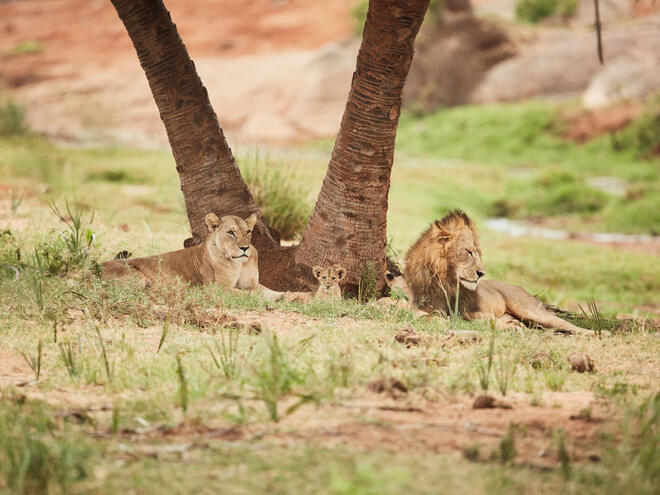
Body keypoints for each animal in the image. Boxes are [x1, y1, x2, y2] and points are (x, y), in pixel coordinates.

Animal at [102, 211, 282, 300]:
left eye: (248, 232)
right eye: (231, 233)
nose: (244, 248)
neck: (240, 263)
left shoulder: (253, 284)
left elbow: (271, 291)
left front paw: (285, 297)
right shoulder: (217, 288)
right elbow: (248, 294)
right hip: (139, 278)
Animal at [402, 211, 592, 336]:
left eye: (479, 253)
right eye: (469, 252)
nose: (481, 273)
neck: (444, 280)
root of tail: (518, 286)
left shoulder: (472, 311)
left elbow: (480, 318)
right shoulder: (419, 306)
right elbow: (423, 315)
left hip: (532, 311)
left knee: (569, 325)